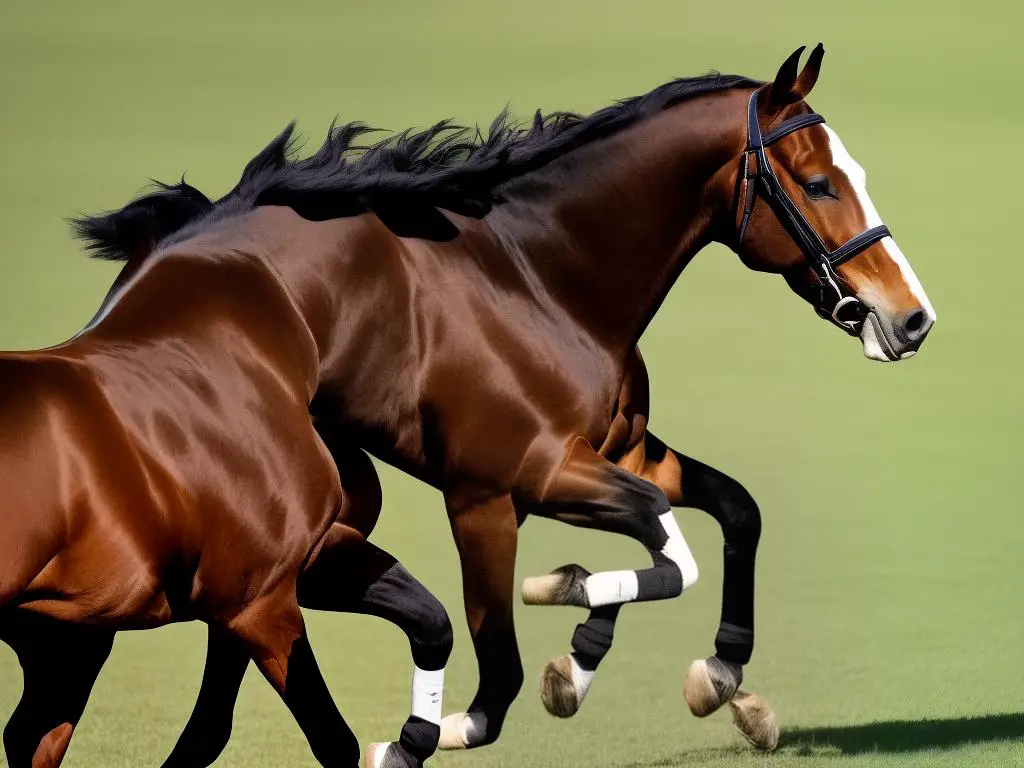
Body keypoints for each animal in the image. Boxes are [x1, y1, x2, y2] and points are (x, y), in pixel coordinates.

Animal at [59, 43, 933, 765]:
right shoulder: (503, 489)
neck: (545, 276)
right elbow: (519, 663)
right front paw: (550, 644)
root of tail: (155, 264)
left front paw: (706, 668)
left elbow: (728, 513)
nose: (912, 318)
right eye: (818, 183)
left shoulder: (615, 454)